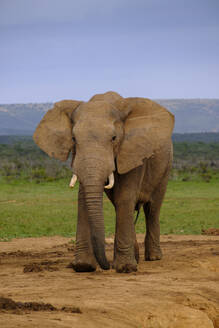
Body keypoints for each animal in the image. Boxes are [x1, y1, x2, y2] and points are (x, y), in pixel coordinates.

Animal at [33, 91, 175, 272]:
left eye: (114, 138)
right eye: (73, 138)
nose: (106, 266)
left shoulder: (132, 152)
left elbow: (125, 197)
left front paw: (125, 268)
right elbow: (84, 198)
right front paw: (84, 266)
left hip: (166, 166)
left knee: (152, 208)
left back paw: (153, 257)